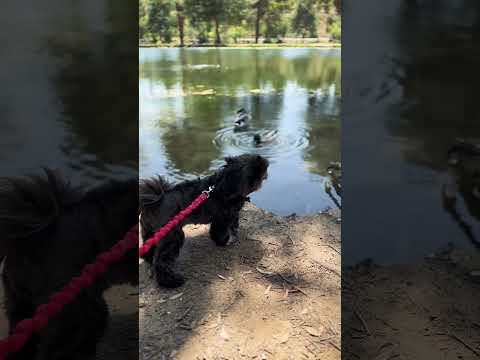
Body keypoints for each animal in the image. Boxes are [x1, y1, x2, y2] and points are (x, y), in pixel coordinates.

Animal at [140, 153, 270, 288]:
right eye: (260, 168)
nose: (266, 168)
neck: (227, 184)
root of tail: (156, 200)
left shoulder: (231, 216)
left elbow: (233, 226)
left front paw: (233, 236)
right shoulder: (224, 219)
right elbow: (220, 233)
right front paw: (225, 241)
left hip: (150, 231)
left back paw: (149, 258)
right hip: (172, 235)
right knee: (162, 261)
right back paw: (171, 281)